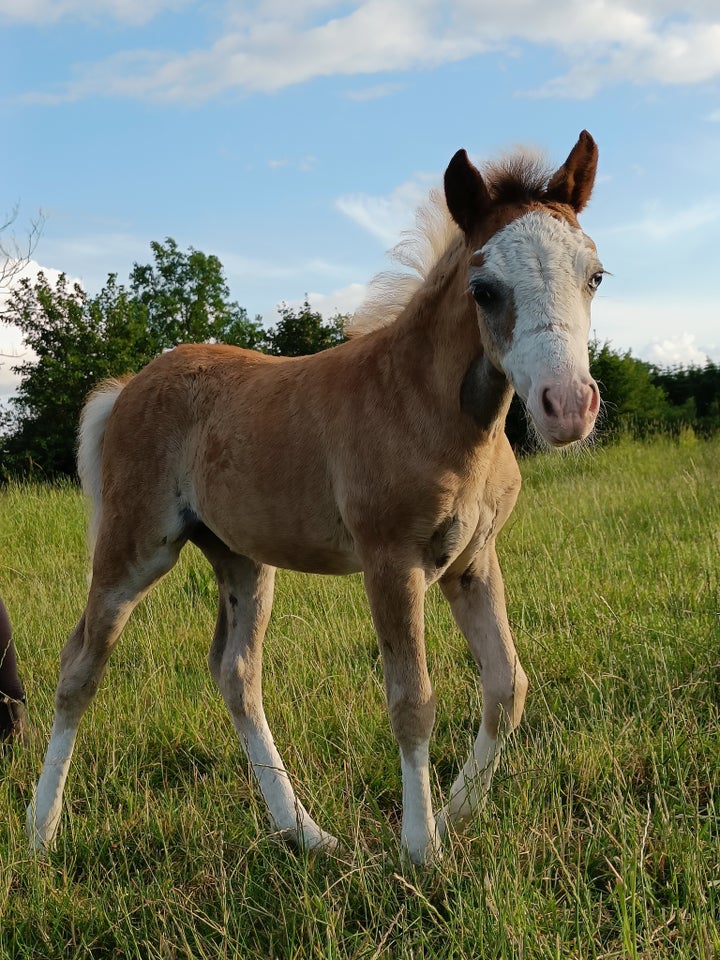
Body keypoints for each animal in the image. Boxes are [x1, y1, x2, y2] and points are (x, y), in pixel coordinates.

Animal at [26, 129, 600, 864]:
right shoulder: (391, 562)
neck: (427, 409)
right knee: (81, 665)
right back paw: (41, 831)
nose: (567, 406)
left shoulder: (473, 561)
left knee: (236, 674)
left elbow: (506, 686)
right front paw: (420, 849)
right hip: (135, 545)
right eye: (484, 289)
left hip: (242, 558)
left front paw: (453, 819)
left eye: (595, 275)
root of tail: (128, 386)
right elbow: (412, 701)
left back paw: (305, 832)